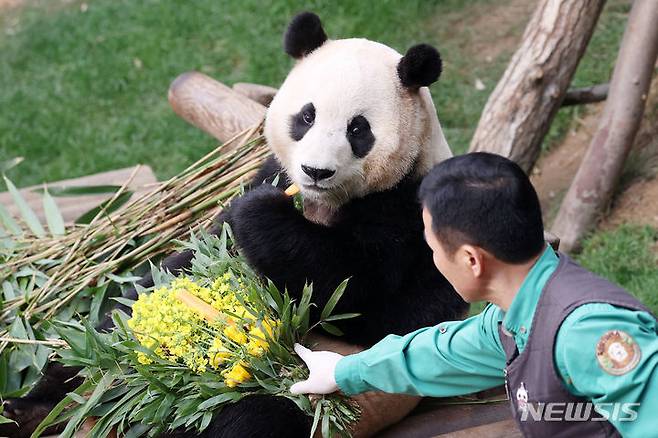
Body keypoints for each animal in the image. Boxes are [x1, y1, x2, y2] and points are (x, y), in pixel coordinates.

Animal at [0, 10, 464, 438]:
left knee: (252, 418)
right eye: (307, 117)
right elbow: (193, 254)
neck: (321, 203)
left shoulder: (407, 211)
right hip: (108, 350)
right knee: (101, 339)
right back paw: (31, 409)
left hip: (311, 393)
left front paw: (260, 215)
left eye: (358, 129)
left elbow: (359, 292)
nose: (315, 171)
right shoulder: (269, 172)